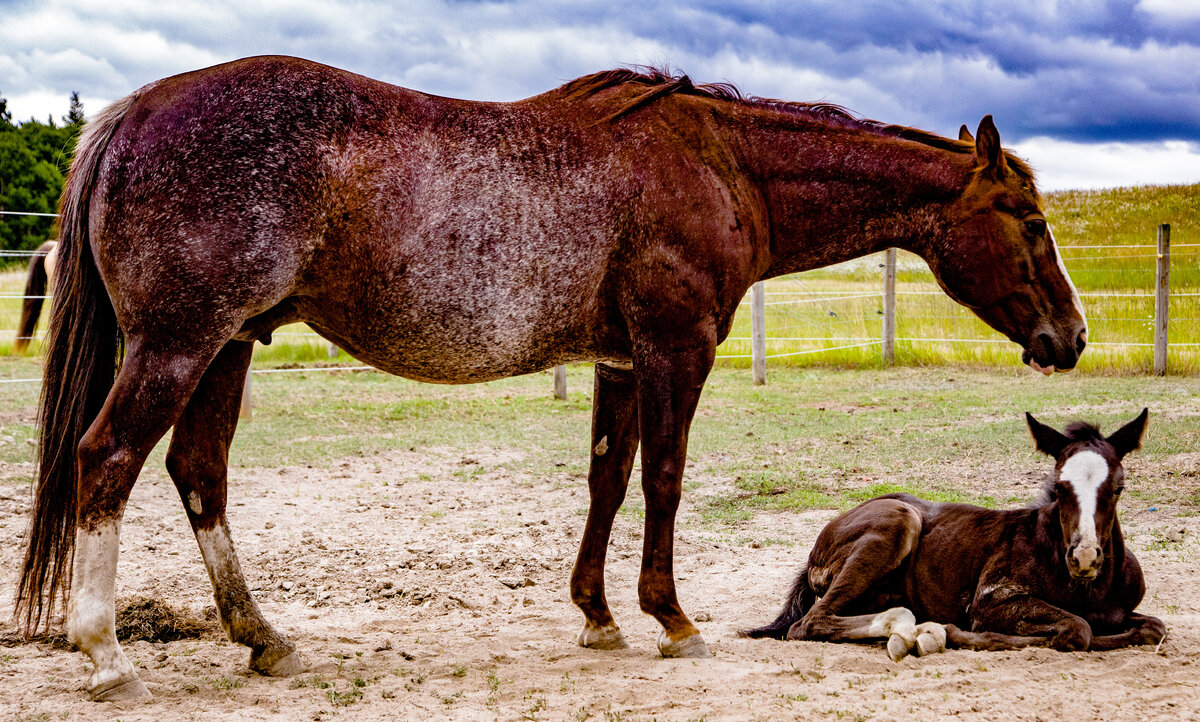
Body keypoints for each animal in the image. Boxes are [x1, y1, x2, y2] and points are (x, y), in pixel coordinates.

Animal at [14, 57, 1087, 701]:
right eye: (1032, 220)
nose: (1070, 336)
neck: (718, 162)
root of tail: (135, 111)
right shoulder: (674, 350)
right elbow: (663, 482)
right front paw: (672, 620)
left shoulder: (619, 363)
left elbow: (607, 482)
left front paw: (600, 618)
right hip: (177, 346)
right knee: (106, 462)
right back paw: (106, 654)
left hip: (227, 347)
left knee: (198, 472)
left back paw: (262, 637)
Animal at [743, 410, 1165, 659]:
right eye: (1060, 488)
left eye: (1119, 488)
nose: (1084, 558)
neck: (1089, 589)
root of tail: (815, 550)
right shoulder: (990, 602)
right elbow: (1079, 630)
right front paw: (953, 632)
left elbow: (1152, 628)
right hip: (899, 520)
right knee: (809, 622)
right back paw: (913, 632)